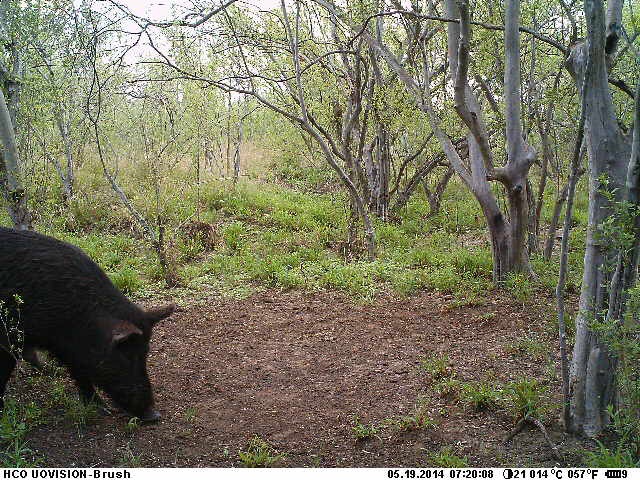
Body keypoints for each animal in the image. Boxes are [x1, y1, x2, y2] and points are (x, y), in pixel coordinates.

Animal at [0, 226, 174, 422]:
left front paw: (103, 408)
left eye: (146, 353)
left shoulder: (66, 347)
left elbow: (79, 372)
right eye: (126, 354)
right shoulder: (9, 338)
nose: (154, 415)